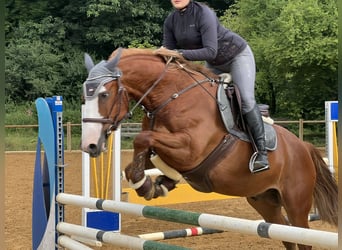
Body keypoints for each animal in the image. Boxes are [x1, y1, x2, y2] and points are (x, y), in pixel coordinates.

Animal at [81, 47, 338, 249]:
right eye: (85, 98)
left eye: (104, 94)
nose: (90, 145)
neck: (171, 96)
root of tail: (304, 147)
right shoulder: (162, 147)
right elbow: (139, 159)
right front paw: (155, 184)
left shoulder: (190, 148)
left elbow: (142, 139)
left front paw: (149, 185)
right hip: (265, 200)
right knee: (285, 234)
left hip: (296, 202)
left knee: (302, 237)